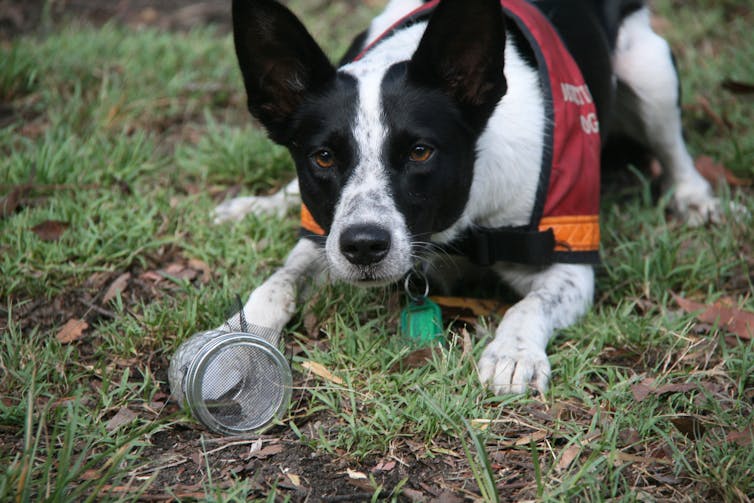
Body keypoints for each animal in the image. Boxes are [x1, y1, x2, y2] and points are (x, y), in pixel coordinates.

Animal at [212, 0, 716, 396]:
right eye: (322, 157)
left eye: (420, 151)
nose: (364, 247)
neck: (458, 221)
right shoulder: (325, 237)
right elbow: (278, 282)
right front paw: (233, 339)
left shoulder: (570, 260)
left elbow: (530, 305)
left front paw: (514, 353)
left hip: (651, 73)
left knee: (674, 149)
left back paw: (694, 198)